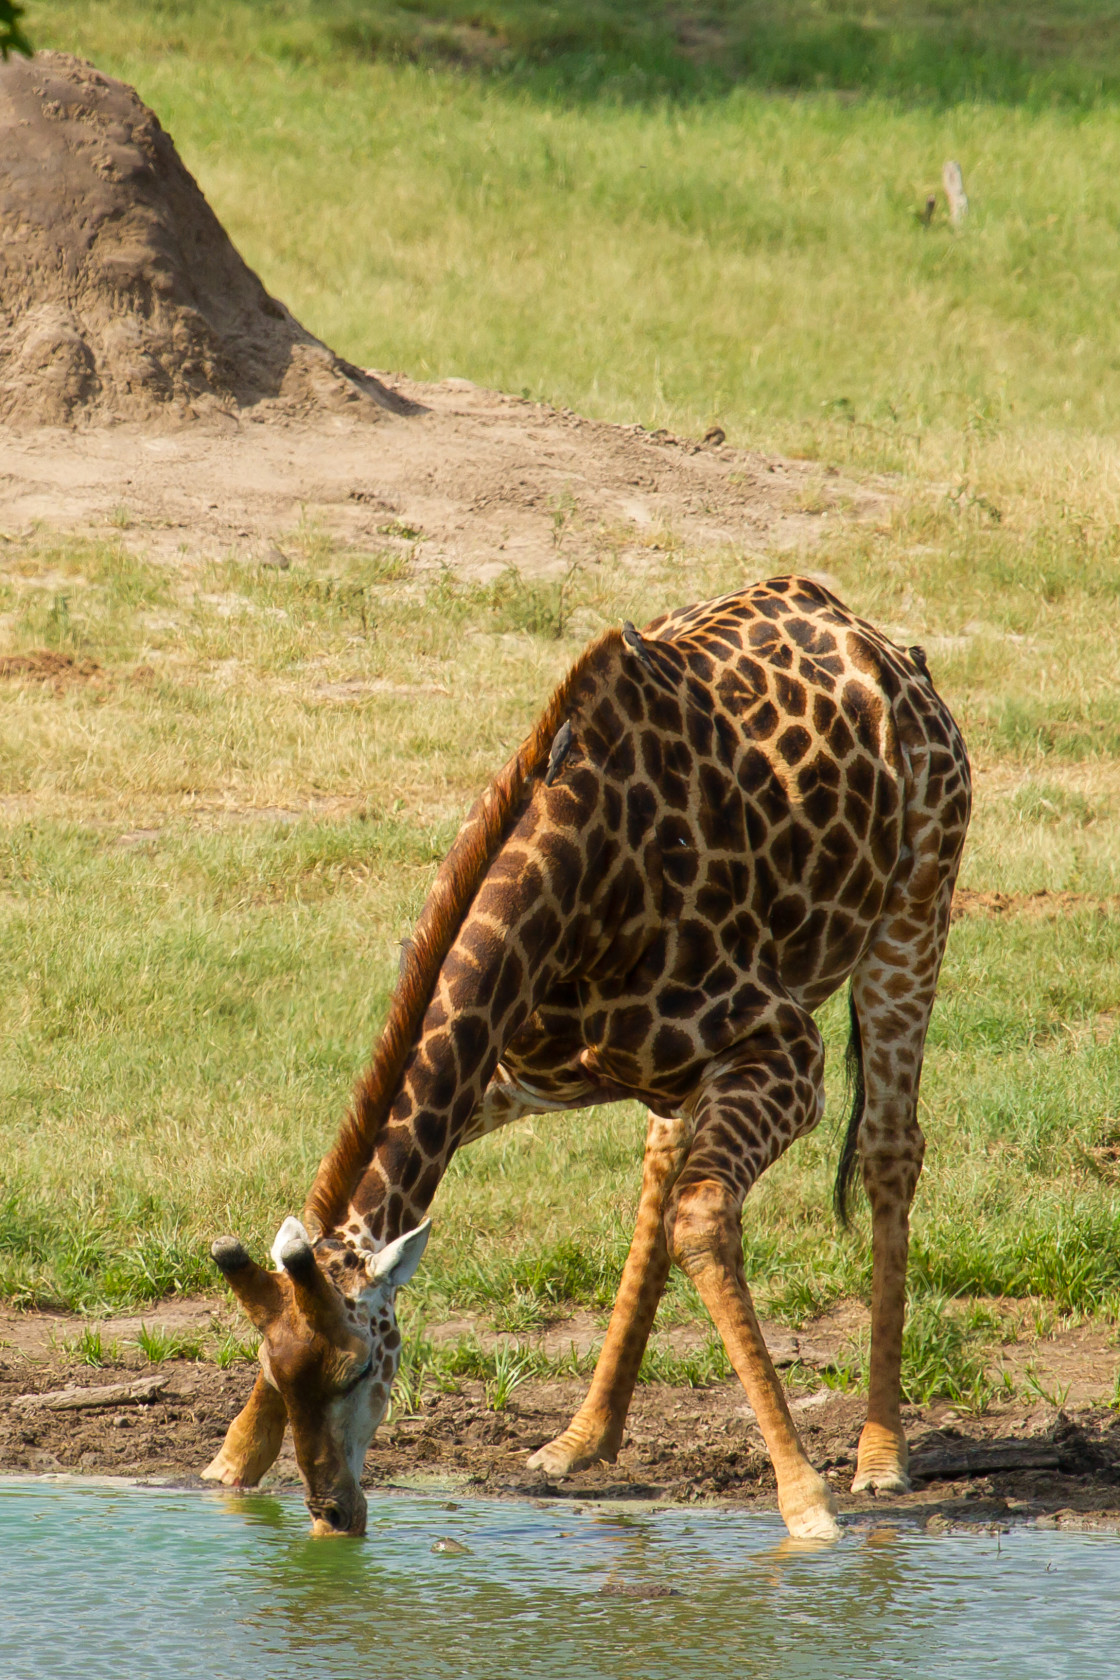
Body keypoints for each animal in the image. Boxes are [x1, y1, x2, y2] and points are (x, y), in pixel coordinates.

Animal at [204, 581, 973, 1545]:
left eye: (359, 1372)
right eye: (277, 1372)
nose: (335, 1513)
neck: (575, 879)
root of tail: (895, 656)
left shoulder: (790, 1050)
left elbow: (704, 1220)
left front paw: (806, 1503)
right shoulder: (501, 1074)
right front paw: (229, 1467)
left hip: (913, 915)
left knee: (887, 1150)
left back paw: (880, 1455)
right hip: (679, 1074)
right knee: (662, 1164)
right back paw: (581, 1439)